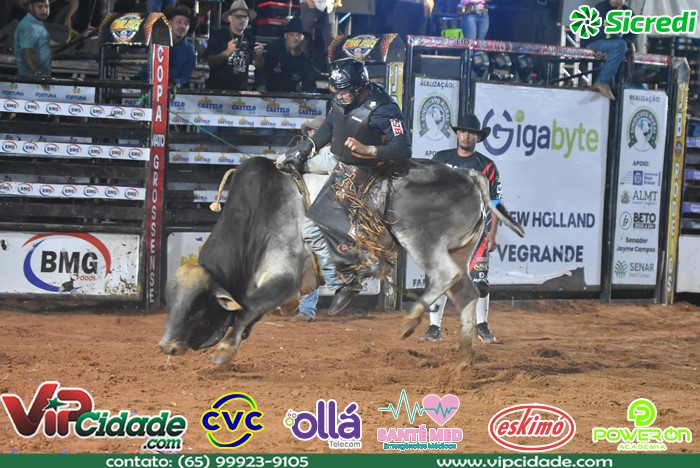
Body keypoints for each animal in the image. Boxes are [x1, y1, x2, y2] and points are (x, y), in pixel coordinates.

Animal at [160, 156, 524, 367]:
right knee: (466, 293)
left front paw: (223, 350)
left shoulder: (283, 276)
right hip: (461, 250)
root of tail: (467, 174)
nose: (167, 346)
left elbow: (248, 307)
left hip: (421, 239)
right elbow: (250, 312)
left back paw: (411, 319)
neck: (256, 215)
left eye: (196, 307)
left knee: (444, 277)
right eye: (172, 303)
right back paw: (463, 358)